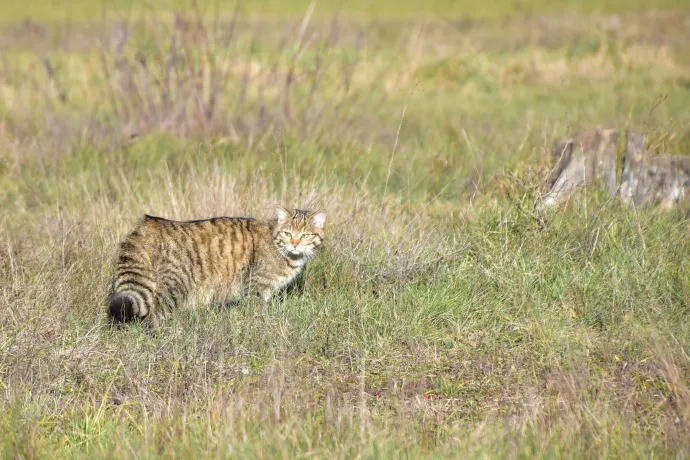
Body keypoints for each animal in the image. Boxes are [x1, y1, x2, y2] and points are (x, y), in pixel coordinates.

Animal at [107, 207, 326, 328]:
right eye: (288, 233)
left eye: (305, 235)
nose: (295, 243)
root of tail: (148, 224)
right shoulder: (256, 290)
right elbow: (257, 315)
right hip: (174, 287)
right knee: (153, 318)